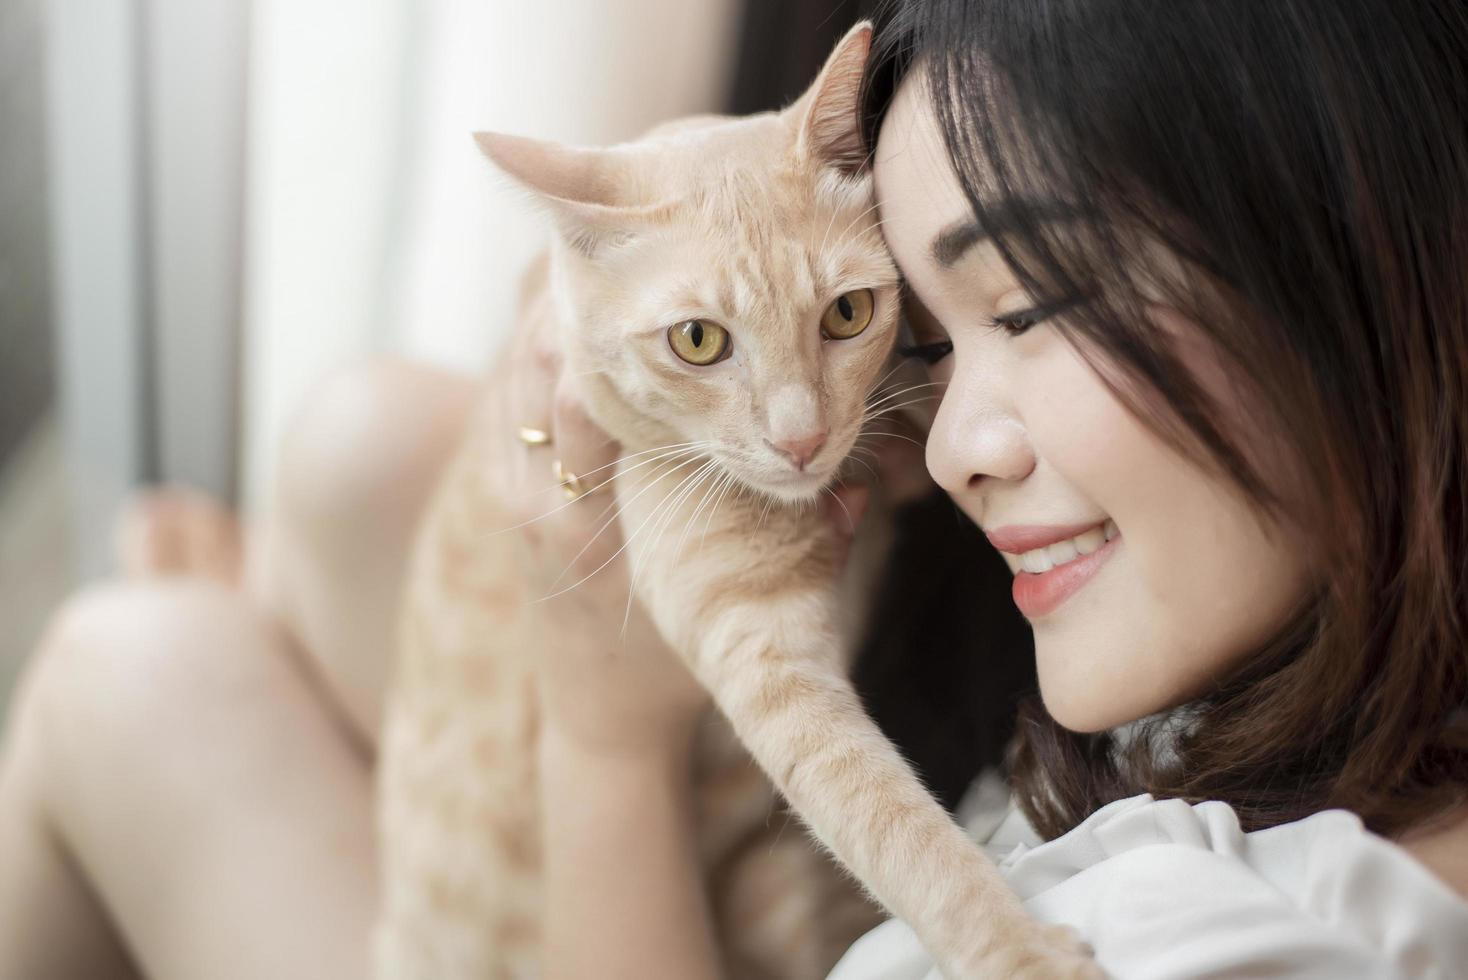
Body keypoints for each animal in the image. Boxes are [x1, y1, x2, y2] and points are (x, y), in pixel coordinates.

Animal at [372, 22, 1098, 979]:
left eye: (848, 314)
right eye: (697, 340)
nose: (801, 441)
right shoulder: (763, 653)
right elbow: (895, 827)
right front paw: (1019, 950)